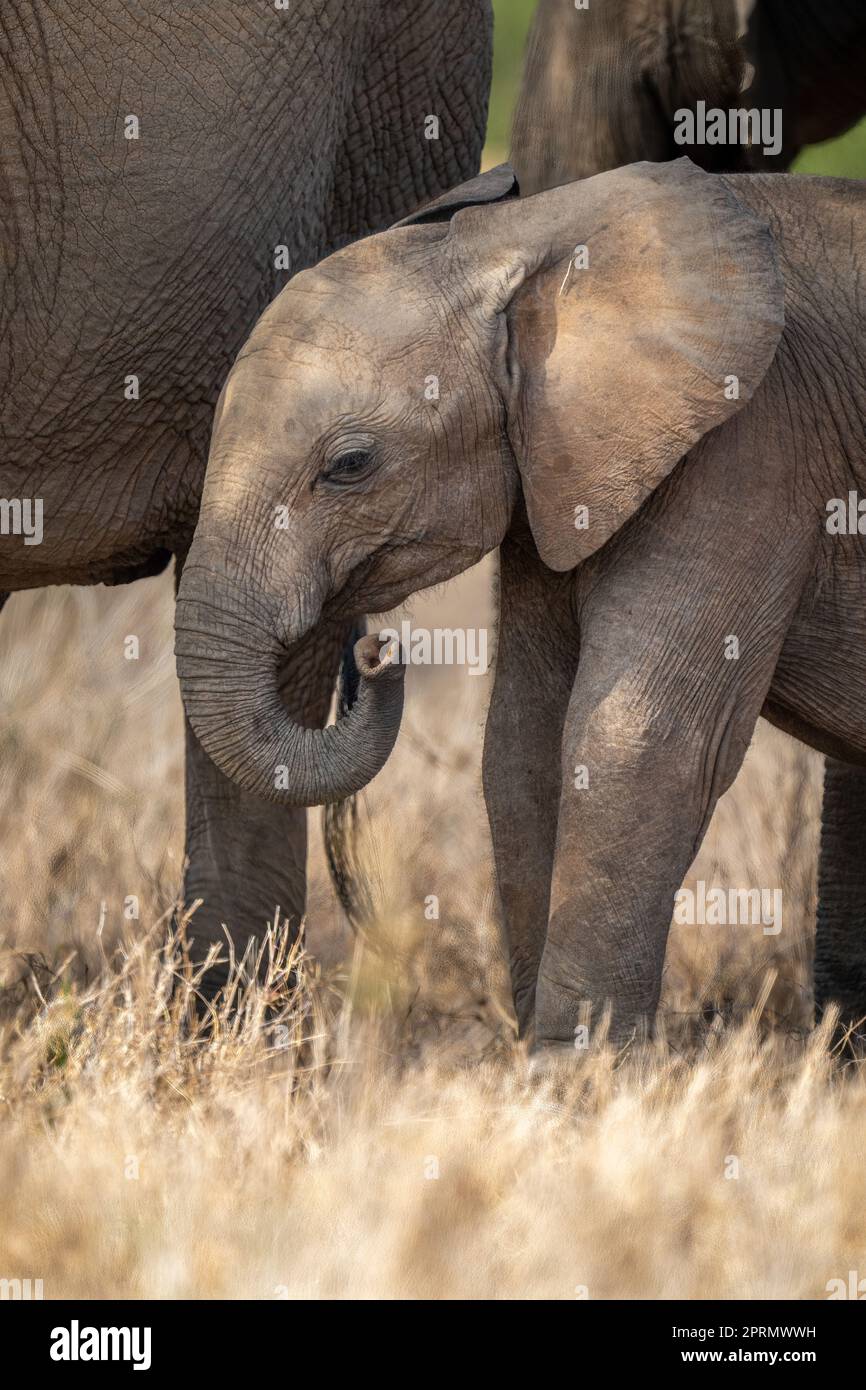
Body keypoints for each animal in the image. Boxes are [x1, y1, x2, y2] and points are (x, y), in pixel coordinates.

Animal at [174, 156, 866, 1049]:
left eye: (351, 465)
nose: (375, 651)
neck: (523, 240)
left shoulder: (755, 439)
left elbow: (639, 742)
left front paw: (576, 1068)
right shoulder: (556, 473)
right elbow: (523, 742)